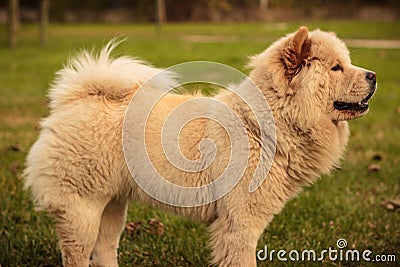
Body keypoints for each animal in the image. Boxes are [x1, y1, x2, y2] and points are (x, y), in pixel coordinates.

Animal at [24, 26, 376, 266]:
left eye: (347, 63)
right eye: (336, 68)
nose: (373, 74)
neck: (265, 125)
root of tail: (78, 98)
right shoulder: (240, 225)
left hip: (112, 205)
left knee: (105, 249)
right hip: (81, 208)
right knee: (77, 254)